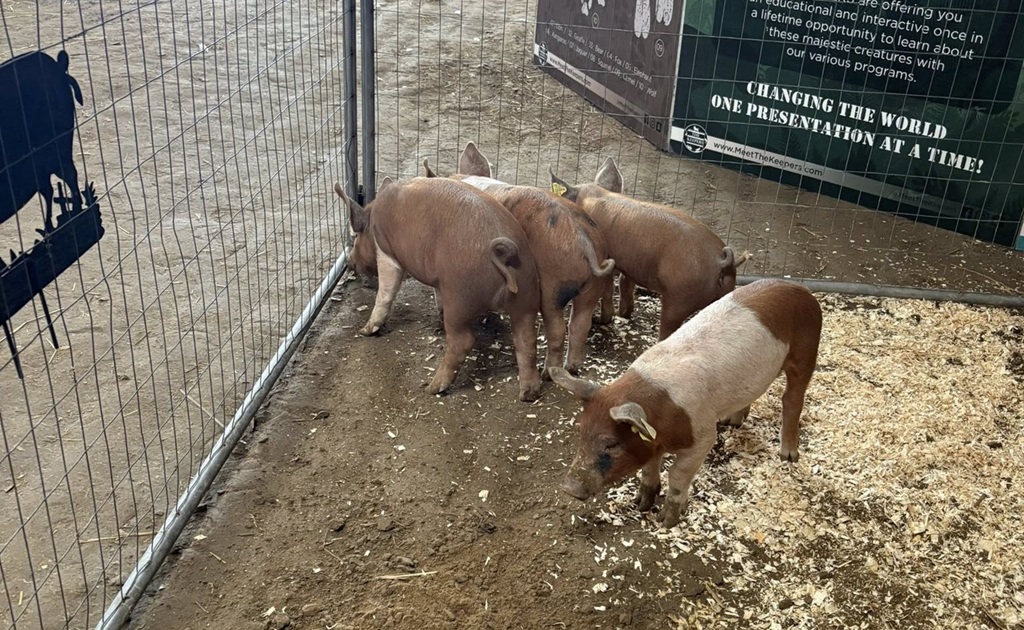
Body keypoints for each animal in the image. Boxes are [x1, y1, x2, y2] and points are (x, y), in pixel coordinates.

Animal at [333, 176, 543, 401]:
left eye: (355, 237)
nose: (349, 262)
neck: (374, 218)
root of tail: (503, 257)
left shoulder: (386, 251)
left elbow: (386, 293)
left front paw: (364, 330)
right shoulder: (438, 282)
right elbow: (437, 296)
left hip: (460, 297)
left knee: (463, 341)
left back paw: (433, 388)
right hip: (527, 294)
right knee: (526, 340)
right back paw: (528, 394)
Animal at [423, 142, 616, 376]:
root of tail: (583, 238)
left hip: (551, 284)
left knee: (558, 329)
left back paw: (548, 373)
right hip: (593, 285)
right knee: (580, 324)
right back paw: (572, 368)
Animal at [549, 279, 822, 528]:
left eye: (612, 444)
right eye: (581, 433)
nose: (568, 488)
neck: (662, 417)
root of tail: (800, 288)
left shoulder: (703, 436)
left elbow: (677, 473)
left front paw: (666, 522)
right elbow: (649, 466)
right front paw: (640, 504)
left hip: (806, 351)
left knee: (792, 399)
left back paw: (788, 456)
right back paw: (732, 422)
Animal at [550, 159, 748, 340]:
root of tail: (720, 260)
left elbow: (607, 290)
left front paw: (601, 319)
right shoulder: (629, 265)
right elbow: (625, 285)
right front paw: (624, 314)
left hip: (678, 297)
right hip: (727, 293)